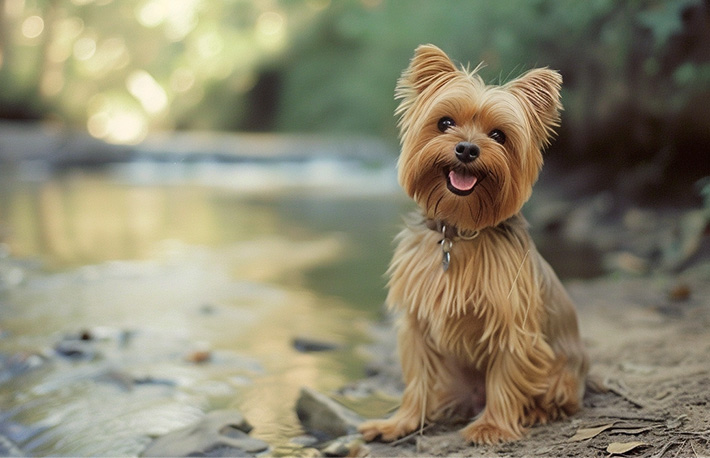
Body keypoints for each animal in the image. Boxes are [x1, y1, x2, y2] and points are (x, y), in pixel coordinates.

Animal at [362, 45, 588, 444]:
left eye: (499, 135)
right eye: (444, 123)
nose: (466, 149)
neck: (459, 232)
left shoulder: (512, 324)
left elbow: (506, 375)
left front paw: (492, 425)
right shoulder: (417, 325)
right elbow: (417, 379)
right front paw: (401, 422)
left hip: (560, 373)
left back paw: (536, 411)